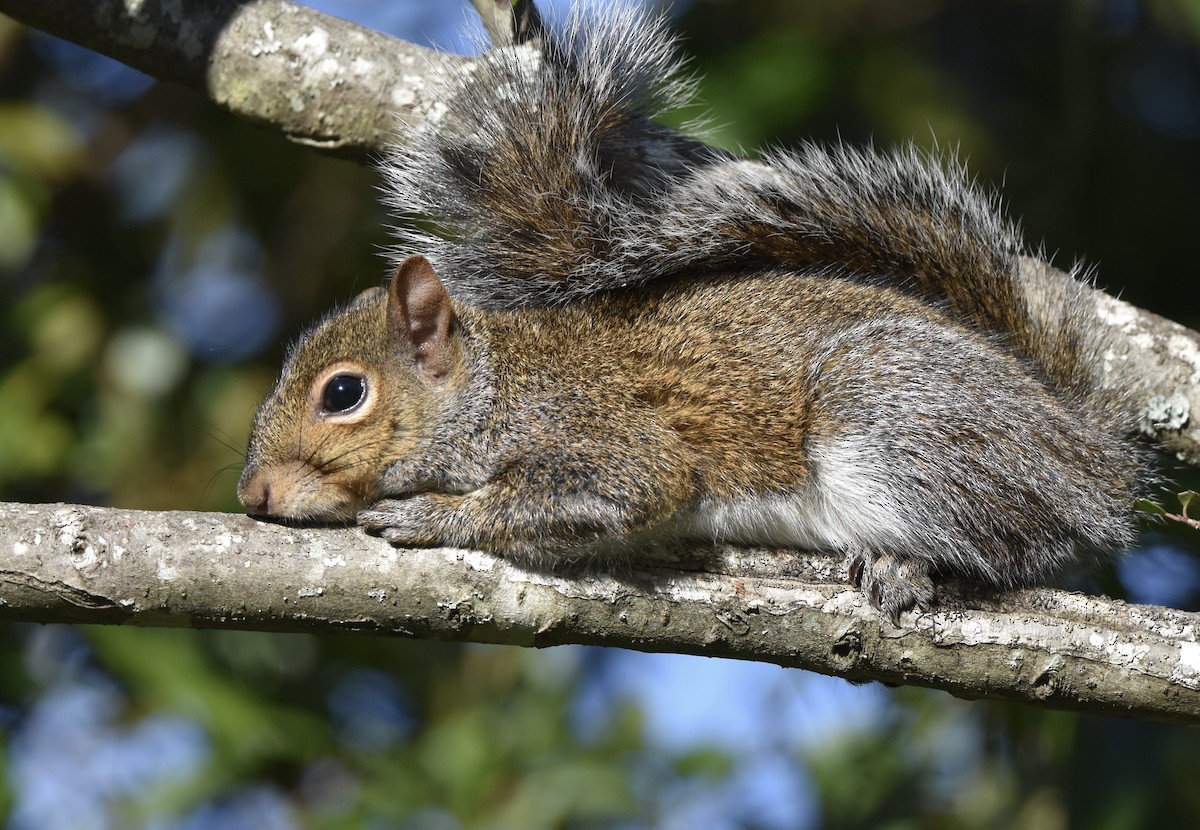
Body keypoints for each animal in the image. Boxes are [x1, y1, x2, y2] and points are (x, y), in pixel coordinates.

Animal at [237, 5, 1151, 621]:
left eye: (343, 394)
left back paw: (913, 566)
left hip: (899, 410)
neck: (496, 383)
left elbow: (624, 483)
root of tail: (1085, 452)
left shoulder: (598, 433)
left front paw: (431, 516)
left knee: (1014, 542)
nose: (252, 495)